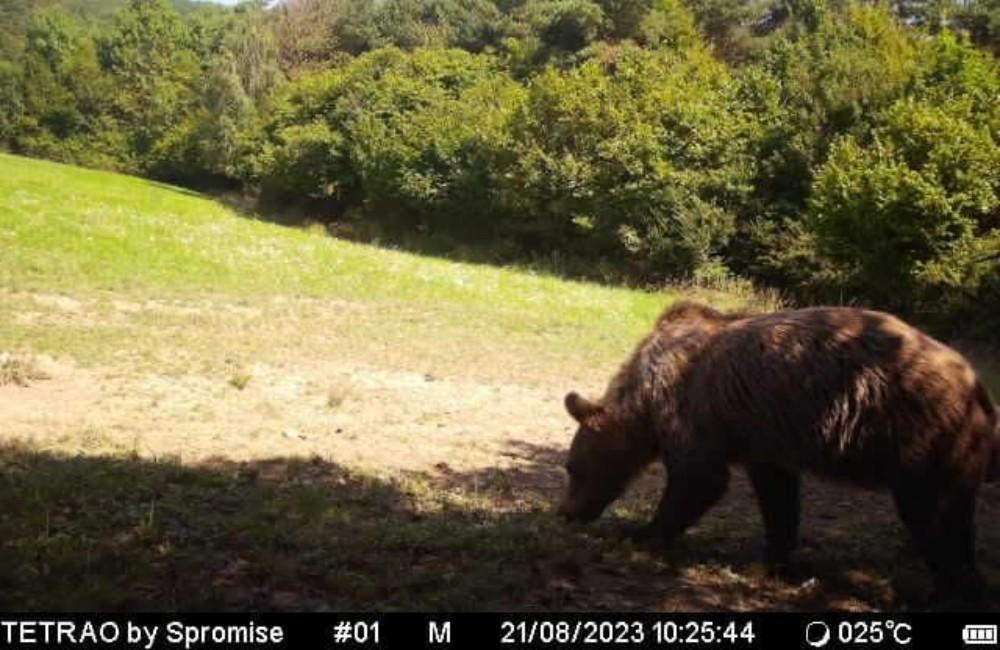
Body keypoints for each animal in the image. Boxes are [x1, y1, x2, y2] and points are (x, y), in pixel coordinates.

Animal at [560, 298, 996, 596]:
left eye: (572, 468)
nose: (566, 512)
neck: (643, 400)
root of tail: (975, 382)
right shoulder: (765, 437)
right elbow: (778, 497)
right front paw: (775, 561)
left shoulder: (688, 406)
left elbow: (699, 478)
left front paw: (640, 532)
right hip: (960, 449)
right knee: (957, 511)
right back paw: (965, 576)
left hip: (917, 432)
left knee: (927, 510)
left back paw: (944, 582)